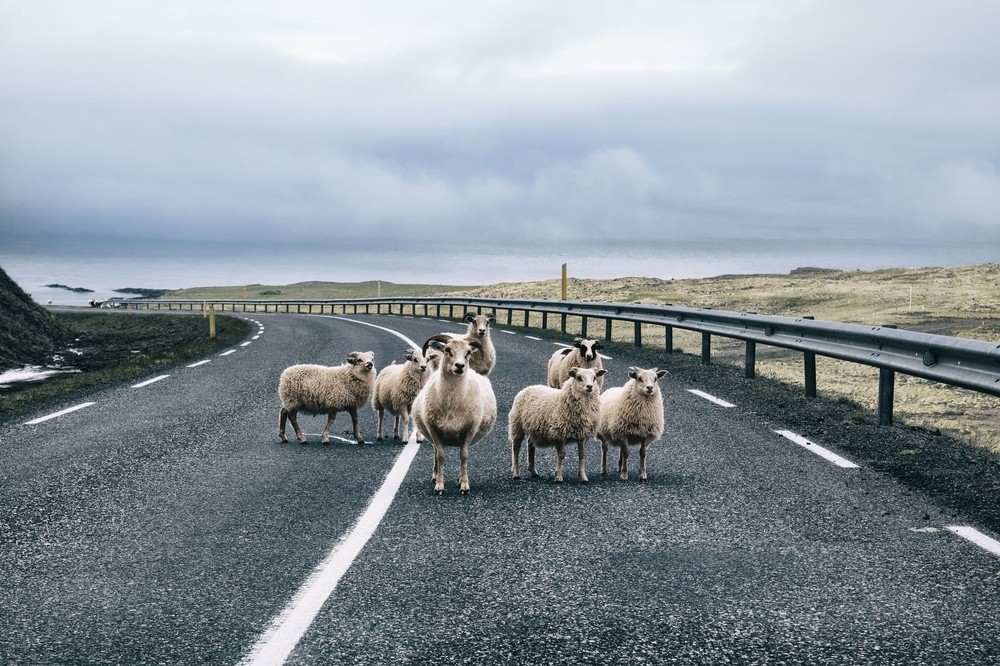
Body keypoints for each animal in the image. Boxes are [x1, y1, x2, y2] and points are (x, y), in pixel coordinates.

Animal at [410, 332, 496, 492]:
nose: (460, 366)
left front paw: (464, 484)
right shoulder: (433, 429)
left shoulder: (469, 429)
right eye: (447, 350)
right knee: (435, 452)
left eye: (468, 352)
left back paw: (459, 478)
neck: (452, 403)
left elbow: (464, 455)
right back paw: (435, 475)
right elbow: (440, 456)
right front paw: (439, 485)